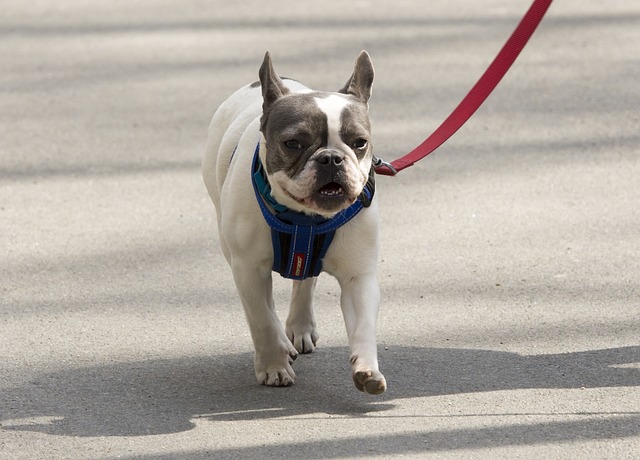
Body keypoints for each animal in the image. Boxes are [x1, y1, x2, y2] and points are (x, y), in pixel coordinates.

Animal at [202, 51, 388, 396]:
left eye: (360, 142)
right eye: (293, 144)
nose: (331, 157)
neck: (305, 219)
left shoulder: (358, 276)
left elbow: (363, 324)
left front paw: (368, 368)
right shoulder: (248, 269)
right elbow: (261, 318)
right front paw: (274, 365)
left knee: (305, 281)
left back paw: (300, 327)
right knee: (267, 305)